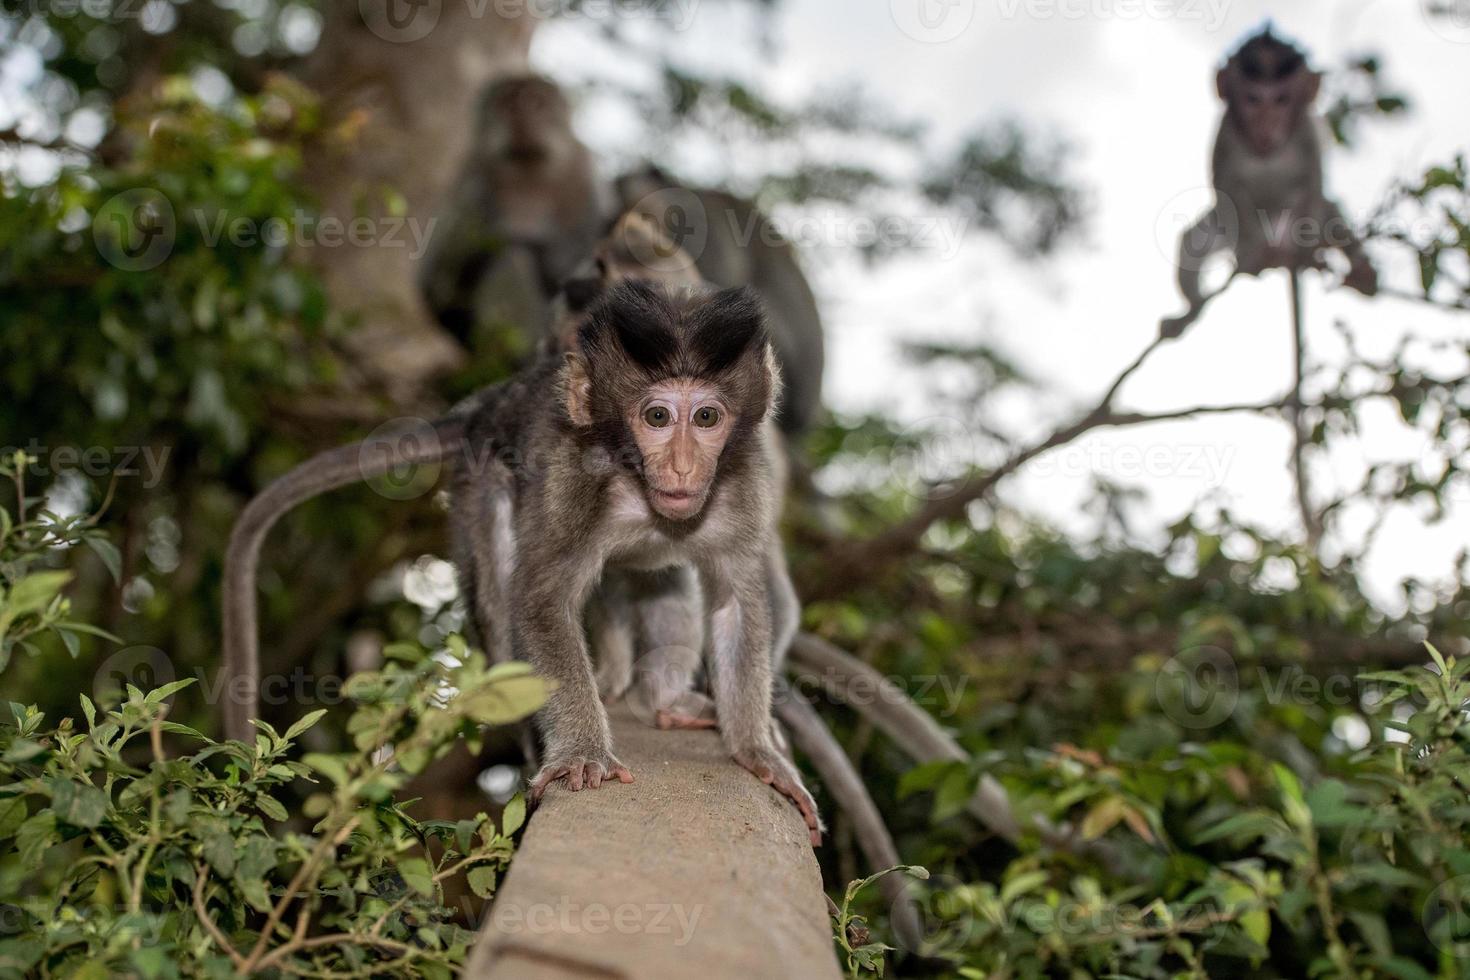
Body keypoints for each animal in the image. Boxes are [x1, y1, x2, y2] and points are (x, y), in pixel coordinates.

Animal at [420, 75, 608, 345]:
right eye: (506, 104)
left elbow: (568, 259)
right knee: (512, 256)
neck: (527, 169)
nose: (522, 118)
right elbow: (439, 275)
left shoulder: (582, 178)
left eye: (535, 102)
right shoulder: (474, 177)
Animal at [1158, 27, 1375, 337]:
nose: (1266, 124)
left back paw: (1359, 273)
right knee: (1192, 241)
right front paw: (1250, 254)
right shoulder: (1225, 133)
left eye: (1282, 100)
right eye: (1252, 99)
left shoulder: (1305, 132)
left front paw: (1305, 250)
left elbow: (1313, 183)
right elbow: (1226, 186)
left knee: (1332, 214)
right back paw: (1189, 313)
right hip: (1226, 230)